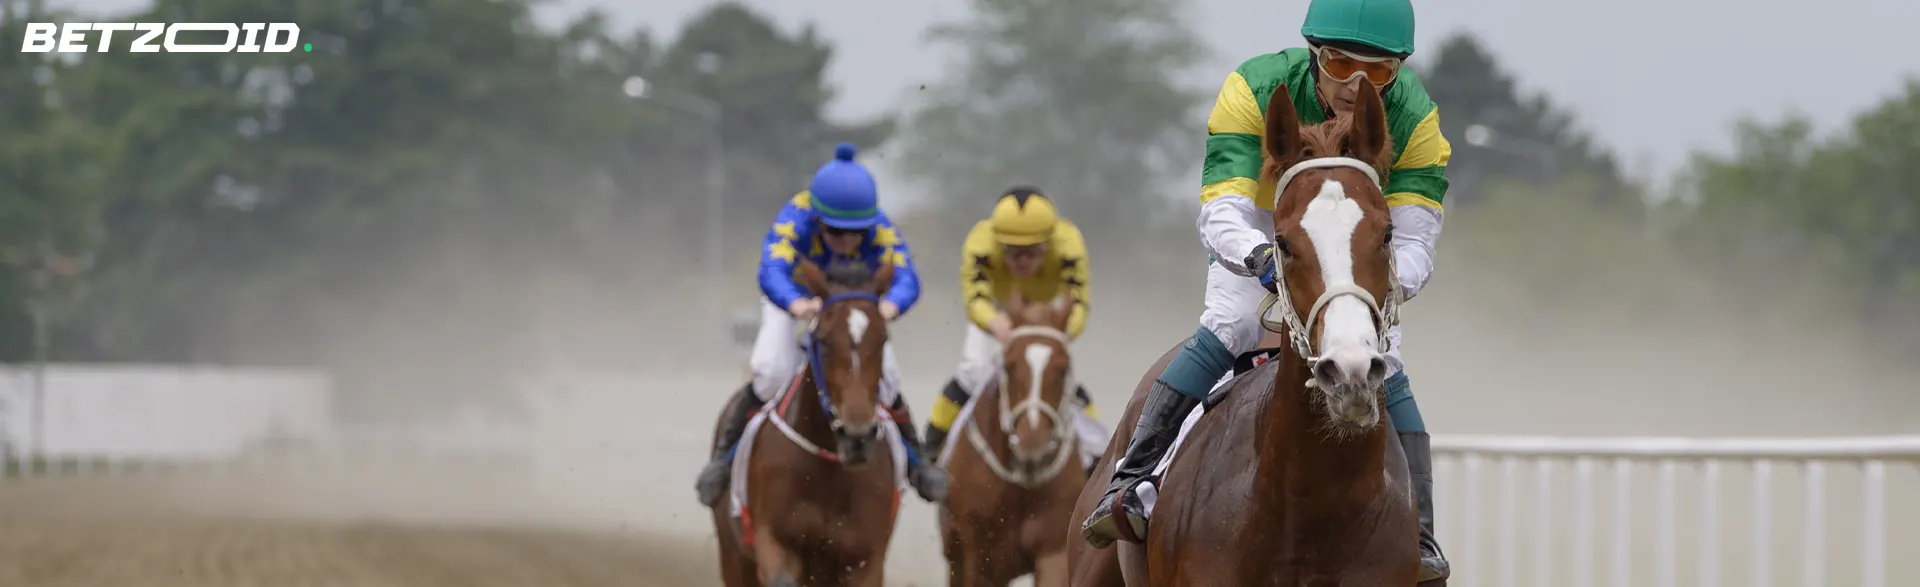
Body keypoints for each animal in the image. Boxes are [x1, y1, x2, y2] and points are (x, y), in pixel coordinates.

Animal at [714, 260, 906, 587]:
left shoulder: (865, 558)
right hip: (734, 556)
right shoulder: (774, 540)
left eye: (883, 339)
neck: (828, 471)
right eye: (825, 341)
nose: (856, 437)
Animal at [936, 291, 1090, 587]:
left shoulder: (1053, 549)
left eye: (1063, 369)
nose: (1033, 441)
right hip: (955, 554)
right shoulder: (979, 554)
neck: (1022, 478)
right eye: (1008, 366)